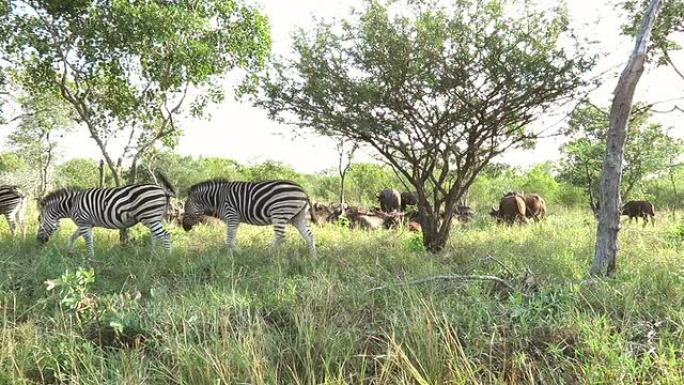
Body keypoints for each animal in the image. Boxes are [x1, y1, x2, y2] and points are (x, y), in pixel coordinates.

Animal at [36, 175, 176, 258]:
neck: (72, 205)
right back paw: (152, 256)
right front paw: (68, 251)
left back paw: (167, 259)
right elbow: (73, 237)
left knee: (166, 236)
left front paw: (91, 258)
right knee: (155, 236)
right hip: (154, 219)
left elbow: (88, 241)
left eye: (39, 219)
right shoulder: (85, 223)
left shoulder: (84, 222)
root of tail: (163, 190)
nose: (38, 241)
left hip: (150, 217)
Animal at [180, 180, 316, 255]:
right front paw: (231, 255)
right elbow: (231, 238)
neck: (217, 199)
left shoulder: (232, 216)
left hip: (279, 213)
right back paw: (313, 257)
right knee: (309, 236)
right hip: (298, 217)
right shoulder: (233, 220)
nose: (184, 228)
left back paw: (267, 255)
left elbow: (229, 239)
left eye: (185, 209)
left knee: (280, 237)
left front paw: (236, 254)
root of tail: (303, 190)